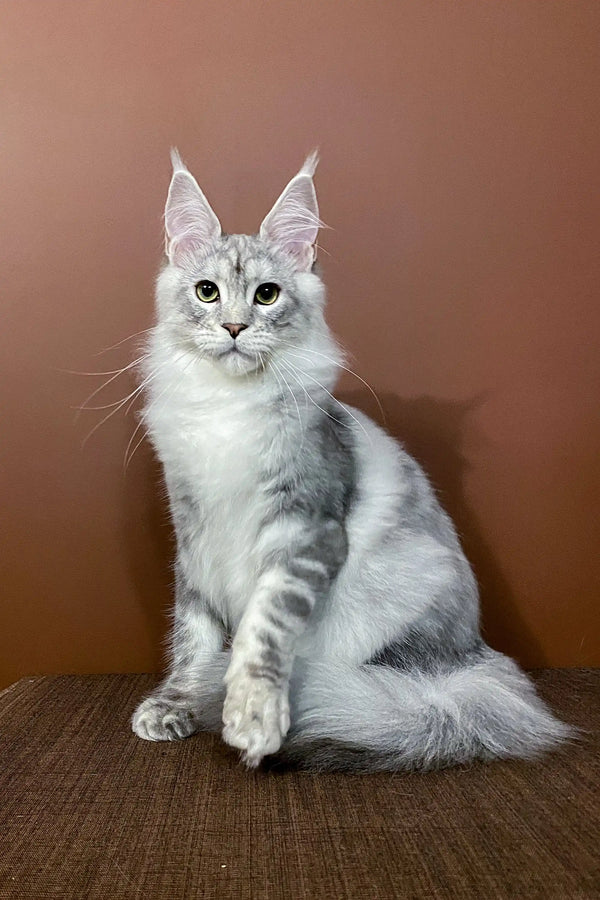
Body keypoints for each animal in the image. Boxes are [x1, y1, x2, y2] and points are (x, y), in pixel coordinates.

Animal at [130, 151, 568, 768]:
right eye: (207, 292)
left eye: (267, 295)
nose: (235, 327)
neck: (228, 407)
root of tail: (474, 661)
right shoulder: (193, 533)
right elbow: (193, 635)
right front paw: (178, 703)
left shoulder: (303, 526)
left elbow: (262, 629)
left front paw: (252, 714)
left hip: (399, 591)